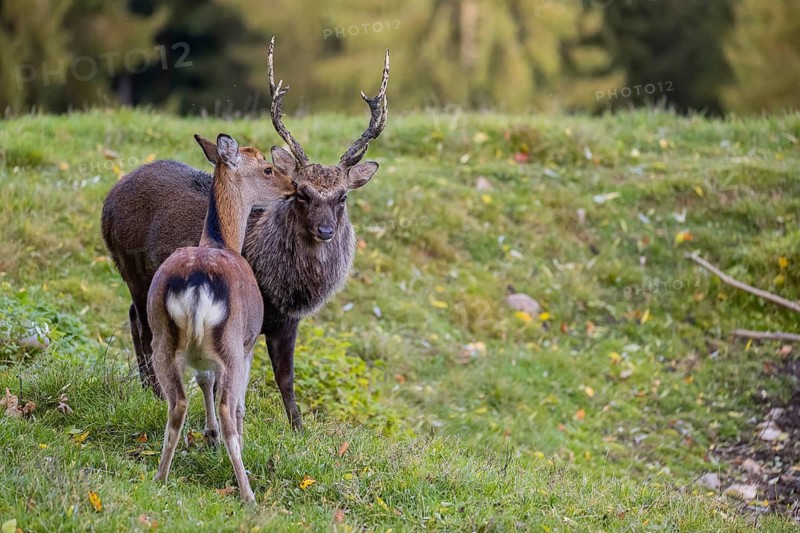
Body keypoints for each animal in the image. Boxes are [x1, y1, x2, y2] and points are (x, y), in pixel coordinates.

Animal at [101, 38, 389, 431]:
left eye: (342, 196)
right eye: (303, 193)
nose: (326, 230)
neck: (287, 288)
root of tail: (108, 200)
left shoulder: (288, 322)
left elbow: (285, 377)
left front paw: (297, 428)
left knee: (133, 317)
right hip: (131, 267)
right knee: (142, 324)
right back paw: (155, 393)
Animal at [148, 133, 294, 503]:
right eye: (268, 168)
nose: (294, 186)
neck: (223, 240)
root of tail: (198, 284)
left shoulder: (202, 360)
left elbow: (204, 381)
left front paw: (208, 436)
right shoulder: (249, 345)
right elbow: (240, 405)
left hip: (162, 340)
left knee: (177, 404)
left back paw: (161, 477)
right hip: (230, 345)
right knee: (229, 407)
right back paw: (248, 493)